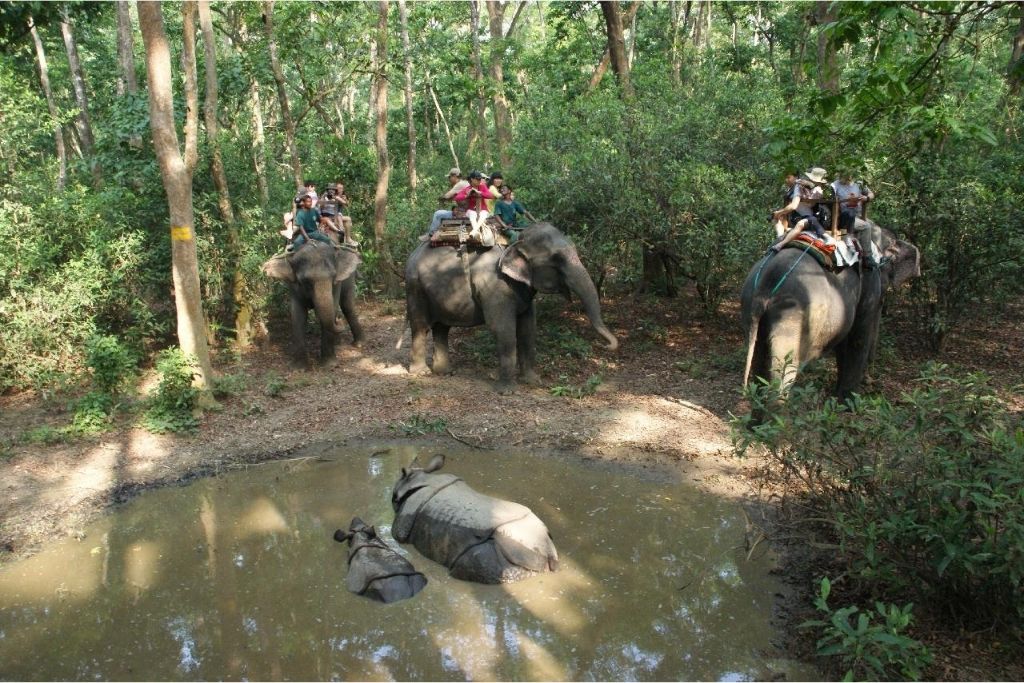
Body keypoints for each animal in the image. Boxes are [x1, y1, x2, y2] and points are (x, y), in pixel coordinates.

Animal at [391, 454, 559, 584]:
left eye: (393, 496)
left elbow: (398, 534)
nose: (392, 499)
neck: (420, 479)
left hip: (508, 548)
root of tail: (548, 554)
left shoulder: (405, 520)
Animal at [404, 222, 618, 392]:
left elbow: (528, 329)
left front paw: (534, 382)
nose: (606, 345)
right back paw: (421, 373)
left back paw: (445, 372)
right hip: (415, 286)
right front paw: (507, 391)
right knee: (420, 326)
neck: (515, 242)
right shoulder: (494, 284)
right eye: (557, 259)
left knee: (442, 327)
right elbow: (502, 328)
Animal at [740, 222, 920, 402]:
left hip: (750, 305)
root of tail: (764, 287)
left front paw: (838, 397)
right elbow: (858, 338)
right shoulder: (869, 283)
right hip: (793, 314)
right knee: (785, 366)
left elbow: (844, 344)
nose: (870, 380)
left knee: (759, 355)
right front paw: (849, 402)